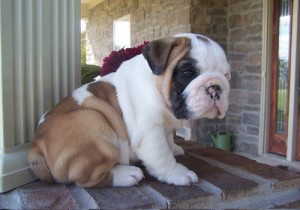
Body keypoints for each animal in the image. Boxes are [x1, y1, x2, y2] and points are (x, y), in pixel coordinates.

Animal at [27, 32, 230, 187]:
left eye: (226, 75)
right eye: (187, 73)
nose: (216, 87)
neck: (156, 86)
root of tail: (36, 146)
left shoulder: (165, 125)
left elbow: (168, 139)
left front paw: (173, 148)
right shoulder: (149, 132)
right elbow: (162, 156)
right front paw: (177, 173)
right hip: (94, 121)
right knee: (88, 179)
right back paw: (126, 174)